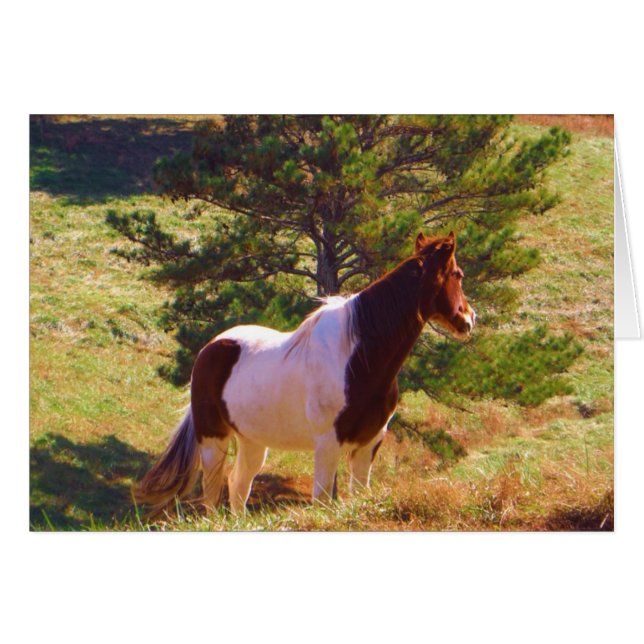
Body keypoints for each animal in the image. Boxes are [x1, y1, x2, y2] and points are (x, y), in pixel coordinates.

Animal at [134, 231, 476, 515]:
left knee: (238, 484)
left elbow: (359, 493)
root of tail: (211, 348)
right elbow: (322, 500)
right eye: (457, 275)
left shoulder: (369, 443)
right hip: (212, 439)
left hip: (253, 442)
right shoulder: (328, 443)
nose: (470, 319)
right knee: (212, 491)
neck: (357, 358)